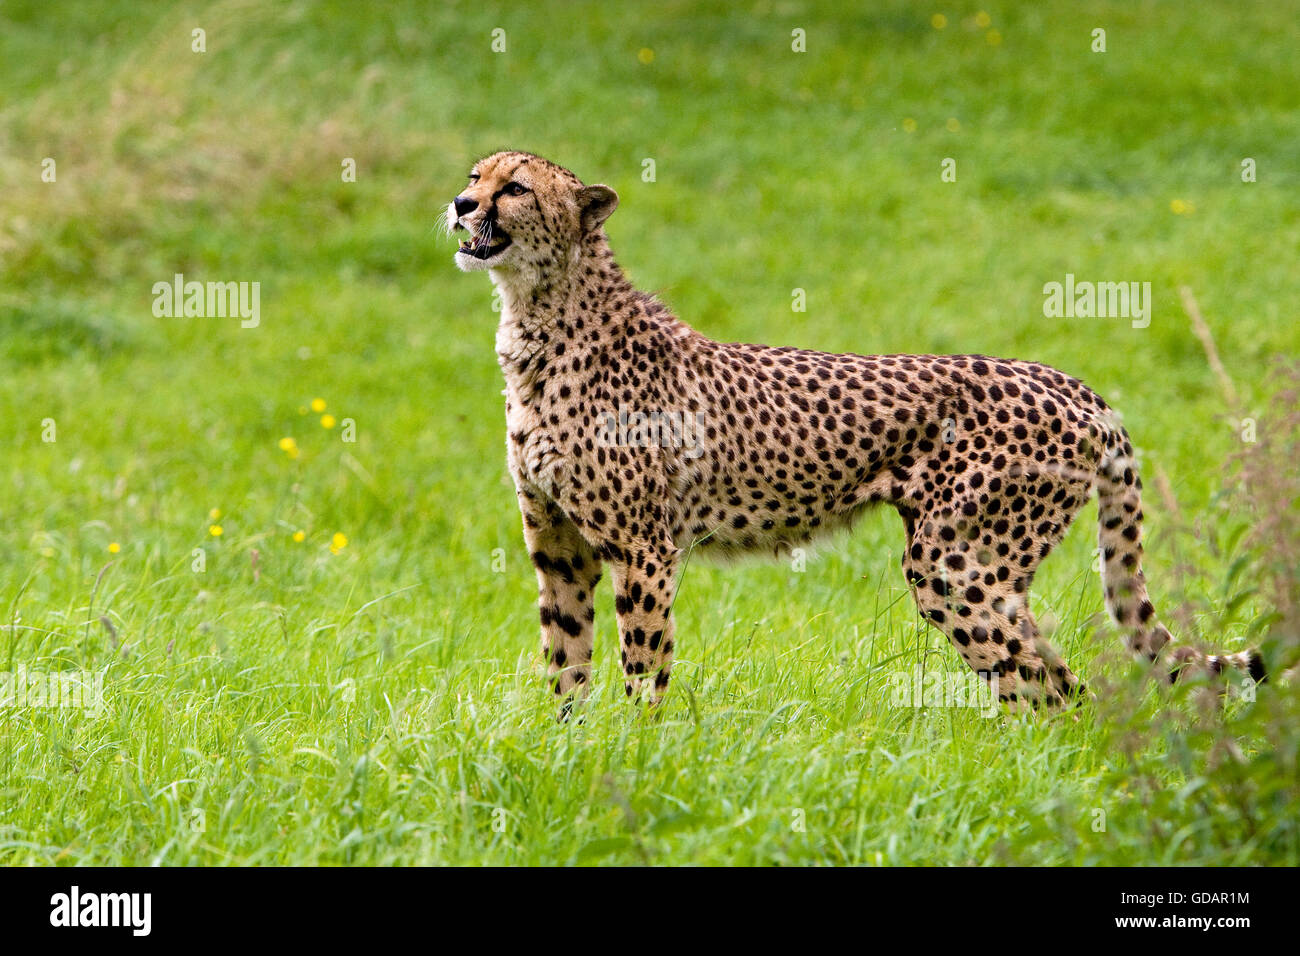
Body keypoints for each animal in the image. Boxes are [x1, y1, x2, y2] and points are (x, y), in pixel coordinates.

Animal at [444, 153, 1258, 712]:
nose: (459, 204)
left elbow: (643, 665)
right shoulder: (559, 549)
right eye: (477, 175)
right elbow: (564, 662)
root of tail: (1070, 383)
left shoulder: (643, 548)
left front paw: (638, 751)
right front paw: (570, 751)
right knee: (1048, 679)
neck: (538, 315)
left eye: (514, 189)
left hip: (954, 562)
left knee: (1048, 684)